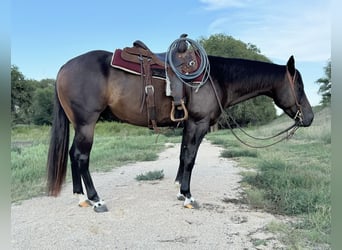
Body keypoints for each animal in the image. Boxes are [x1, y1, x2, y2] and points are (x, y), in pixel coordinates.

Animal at [46, 44, 314, 211]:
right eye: (299, 86)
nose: (309, 117)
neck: (215, 78)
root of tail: (64, 68)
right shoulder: (198, 123)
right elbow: (190, 159)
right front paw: (188, 196)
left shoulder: (188, 124)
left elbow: (183, 155)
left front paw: (180, 190)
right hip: (86, 124)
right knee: (81, 157)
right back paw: (95, 200)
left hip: (79, 125)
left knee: (73, 155)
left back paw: (81, 197)